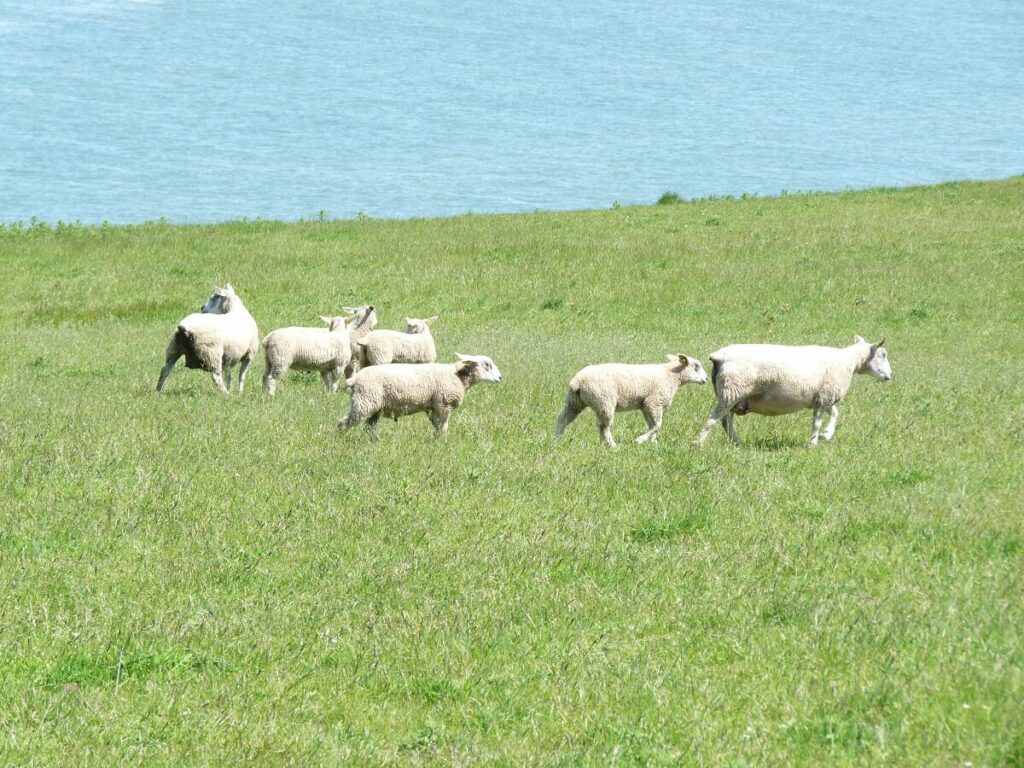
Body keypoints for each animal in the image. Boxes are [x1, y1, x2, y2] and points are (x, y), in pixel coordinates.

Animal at [337, 354, 501, 438]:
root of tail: (355, 379)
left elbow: (437, 425)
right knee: (345, 422)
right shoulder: (444, 404)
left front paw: (436, 439)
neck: (457, 375)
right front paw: (443, 442)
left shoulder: (434, 406)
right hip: (365, 401)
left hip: (374, 406)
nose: (500, 378)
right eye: (487, 365)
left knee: (368, 427)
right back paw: (342, 438)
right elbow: (444, 426)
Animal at [557, 356, 708, 448]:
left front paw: (653, 443)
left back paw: (556, 440)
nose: (706, 379)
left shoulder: (645, 405)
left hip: (574, 402)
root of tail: (577, 381)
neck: (671, 376)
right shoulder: (654, 402)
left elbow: (652, 425)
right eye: (696, 366)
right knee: (604, 427)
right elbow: (657, 425)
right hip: (604, 401)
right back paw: (613, 446)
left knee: (562, 420)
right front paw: (640, 440)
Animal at [700, 333, 892, 448]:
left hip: (733, 394)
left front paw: (826, 435)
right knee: (713, 419)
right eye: (882, 355)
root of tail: (719, 357)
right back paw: (699, 444)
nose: (890, 375)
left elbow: (835, 413)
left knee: (726, 422)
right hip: (732, 391)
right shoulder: (824, 397)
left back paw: (737, 443)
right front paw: (814, 442)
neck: (848, 362)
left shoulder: (823, 396)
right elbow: (817, 423)